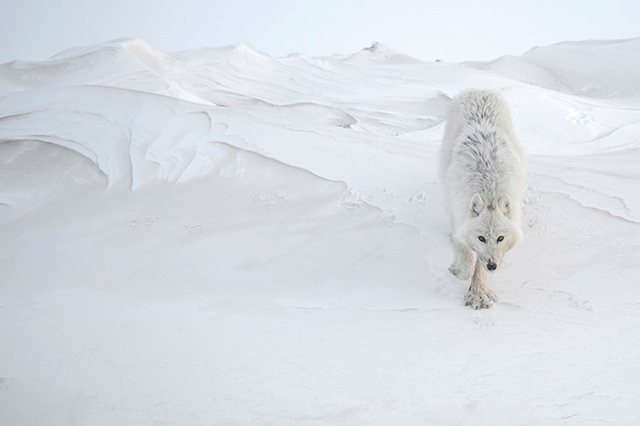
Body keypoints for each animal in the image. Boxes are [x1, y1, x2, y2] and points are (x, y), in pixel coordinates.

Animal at [440, 90, 524, 310]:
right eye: (481, 238)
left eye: (500, 238)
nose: (492, 265)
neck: (489, 190)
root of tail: (478, 90)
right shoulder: (460, 216)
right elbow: (467, 262)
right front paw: (458, 272)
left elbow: (478, 267)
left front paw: (479, 294)